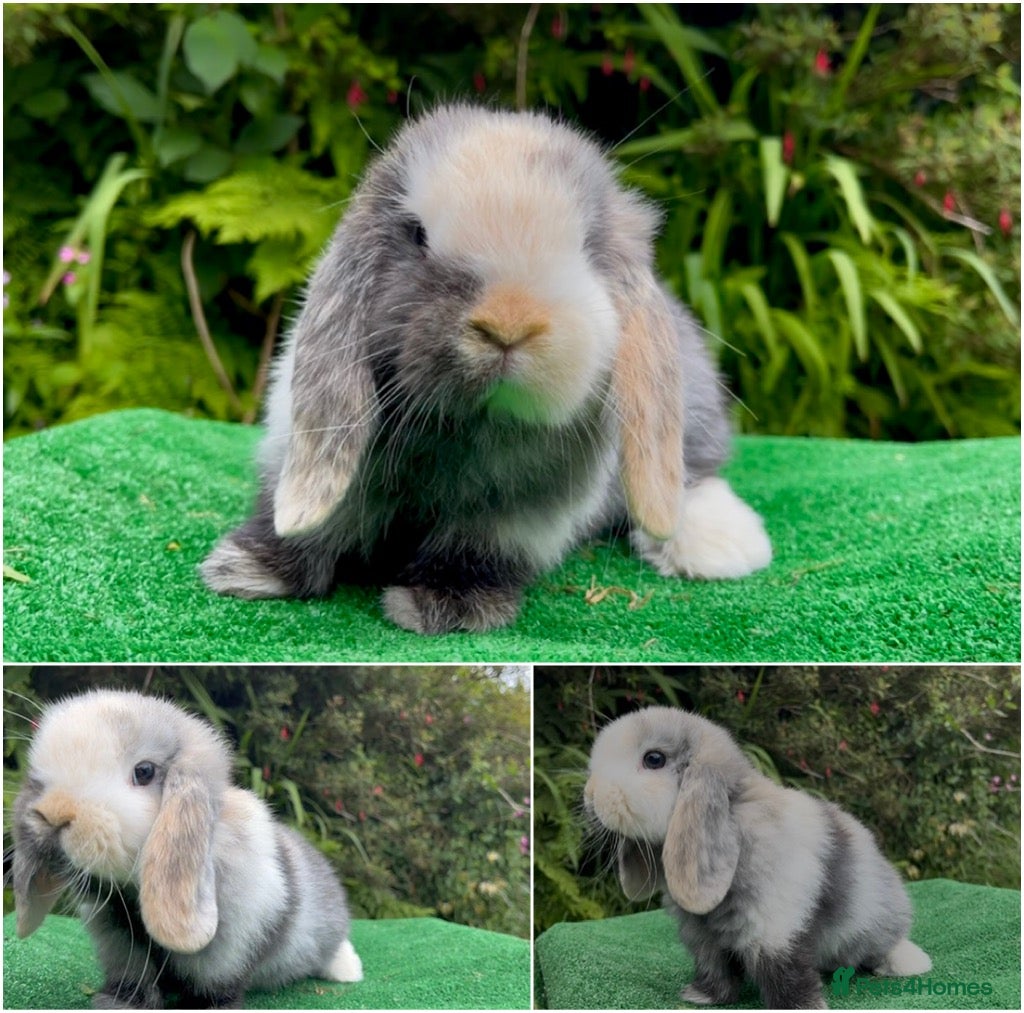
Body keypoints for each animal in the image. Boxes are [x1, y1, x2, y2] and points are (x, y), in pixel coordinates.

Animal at [11, 689, 363, 1010]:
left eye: (144, 771)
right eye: (39, 778)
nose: (53, 814)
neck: (132, 890)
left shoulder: (226, 949)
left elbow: (214, 987)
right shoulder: (120, 938)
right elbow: (133, 977)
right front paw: (117, 1003)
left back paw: (349, 971)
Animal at [200, 104, 772, 634]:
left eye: (587, 245)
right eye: (417, 234)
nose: (507, 324)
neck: (466, 427)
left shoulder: (515, 513)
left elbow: (475, 549)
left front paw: (445, 609)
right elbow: (312, 523)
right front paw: (247, 571)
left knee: (697, 476)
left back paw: (720, 548)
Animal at [584, 706, 931, 1010]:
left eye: (653, 759)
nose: (589, 794)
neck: (735, 819)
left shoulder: (773, 925)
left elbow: (784, 972)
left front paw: (801, 1007)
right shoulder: (703, 935)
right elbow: (713, 965)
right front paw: (702, 996)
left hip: (878, 922)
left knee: (887, 943)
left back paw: (910, 962)